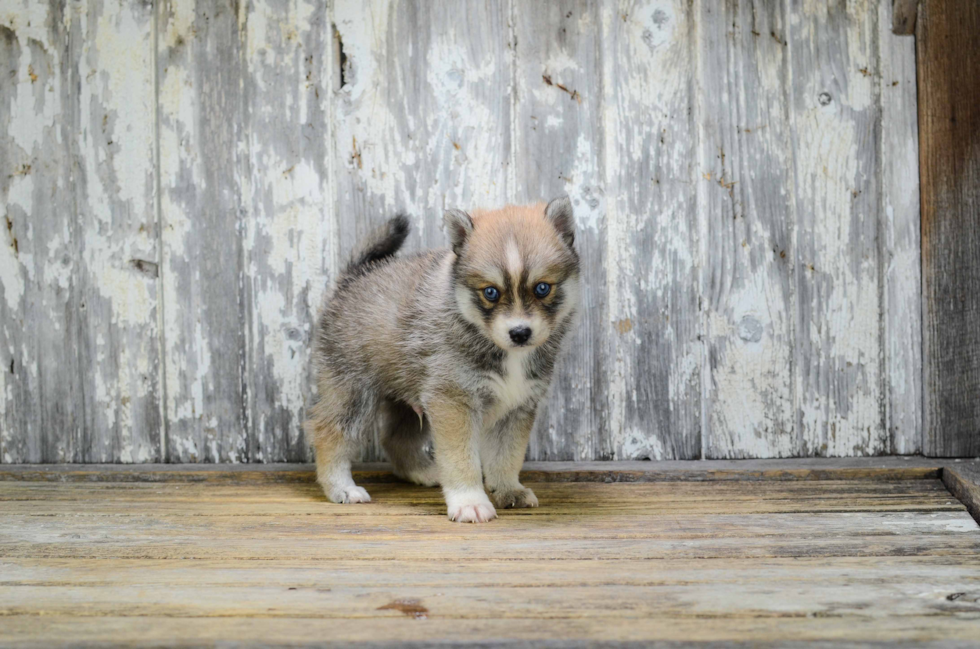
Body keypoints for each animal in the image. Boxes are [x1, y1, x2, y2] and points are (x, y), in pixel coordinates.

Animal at [306, 197, 580, 520]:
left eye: (542, 288)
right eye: (490, 292)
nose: (520, 333)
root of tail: (352, 278)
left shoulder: (517, 405)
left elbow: (507, 455)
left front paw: (508, 489)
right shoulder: (453, 401)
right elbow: (462, 459)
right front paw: (469, 501)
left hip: (409, 401)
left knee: (396, 439)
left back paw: (421, 472)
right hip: (352, 392)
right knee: (329, 432)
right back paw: (341, 488)